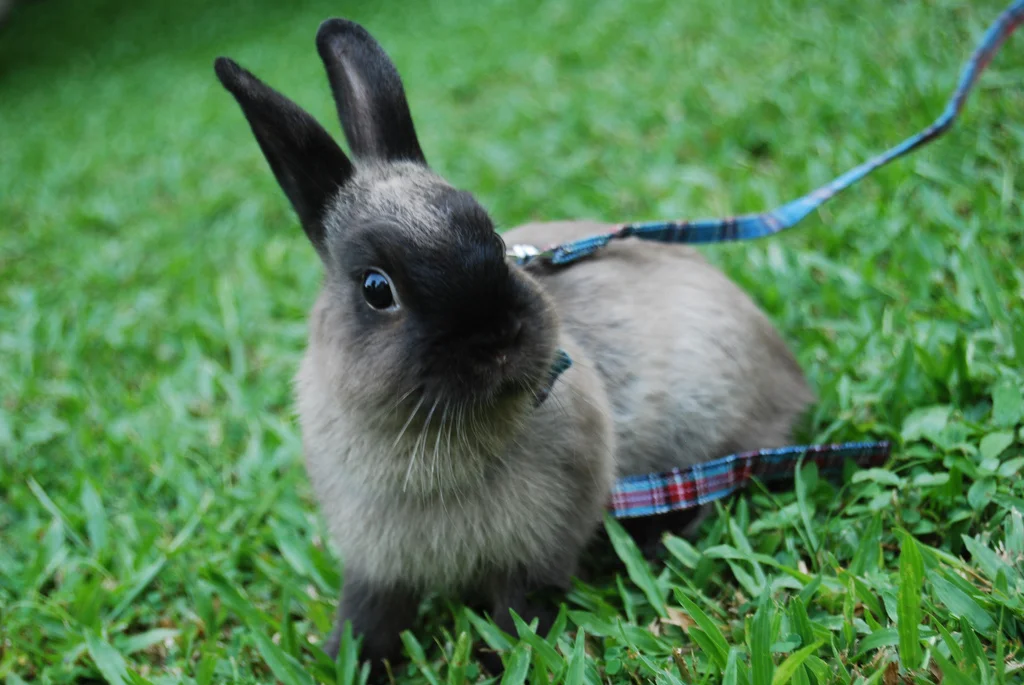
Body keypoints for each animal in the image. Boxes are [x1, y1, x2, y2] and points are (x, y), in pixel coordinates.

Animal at [214, 17, 813, 677]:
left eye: (495, 242)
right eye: (376, 289)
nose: (499, 338)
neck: (429, 438)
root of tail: (792, 379)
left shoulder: (538, 549)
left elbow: (519, 617)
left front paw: (500, 663)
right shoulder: (377, 565)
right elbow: (368, 619)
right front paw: (343, 662)